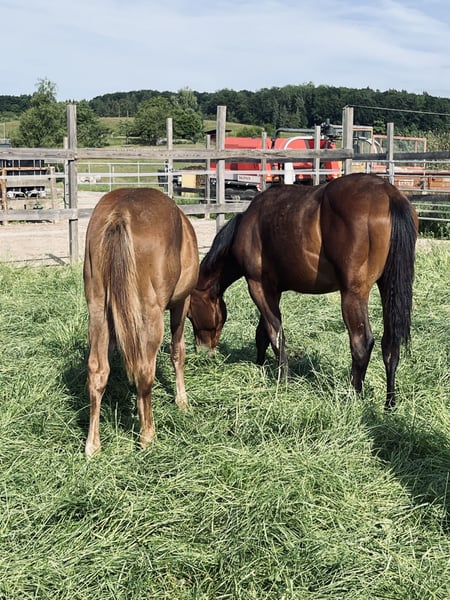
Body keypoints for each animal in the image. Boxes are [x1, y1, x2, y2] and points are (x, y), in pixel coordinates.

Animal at [83, 188, 199, 457]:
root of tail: (120, 214)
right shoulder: (182, 303)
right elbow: (177, 350)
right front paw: (182, 401)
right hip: (150, 315)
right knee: (146, 370)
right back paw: (147, 437)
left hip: (97, 311)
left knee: (97, 371)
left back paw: (92, 445)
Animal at [188, 173, 418, 409]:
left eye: (189, 314)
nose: (202, 351)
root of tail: (389, 194)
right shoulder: (272, 290)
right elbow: (262, 334)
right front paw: (259, 366)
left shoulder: (257, 286)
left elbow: (275, 334)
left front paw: (282, 381)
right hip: (387, 287)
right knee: (390, 345)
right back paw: (389, 403)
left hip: (353, 295)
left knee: (361, 344)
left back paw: (353, 396)